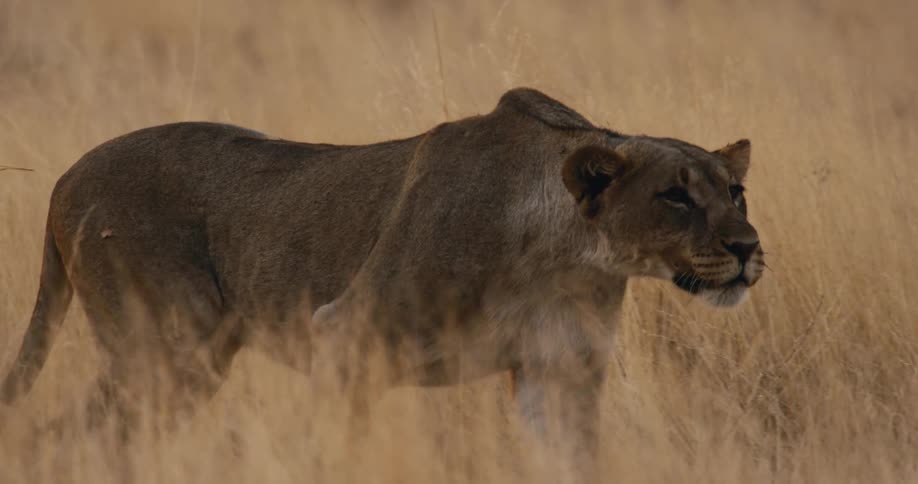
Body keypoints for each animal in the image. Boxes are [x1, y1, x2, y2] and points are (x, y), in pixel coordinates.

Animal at [1, 88, 763, 467]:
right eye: (675, 195)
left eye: (736, 192)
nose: (749, 247)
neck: (564, 259)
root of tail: (66, 176)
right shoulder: (346, 340)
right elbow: (339, 452)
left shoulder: (558, 373)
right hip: (171, 351)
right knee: (71, 437)